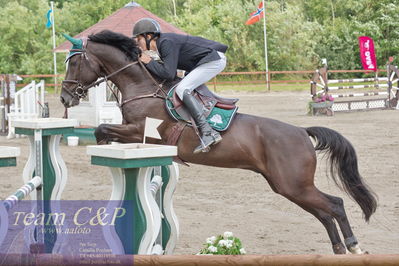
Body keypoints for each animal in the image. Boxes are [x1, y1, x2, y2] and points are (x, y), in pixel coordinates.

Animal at [60, 30, 378, 255]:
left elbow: (103, 129)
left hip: (294, 184)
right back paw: (339, 248)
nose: (64, 98)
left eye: (74, 61)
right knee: (324, 212)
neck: (142, 88)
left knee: (335, 205)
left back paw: (353, 245)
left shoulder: (142, 132)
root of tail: (301, 132)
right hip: (287, 186)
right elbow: (104, 130)